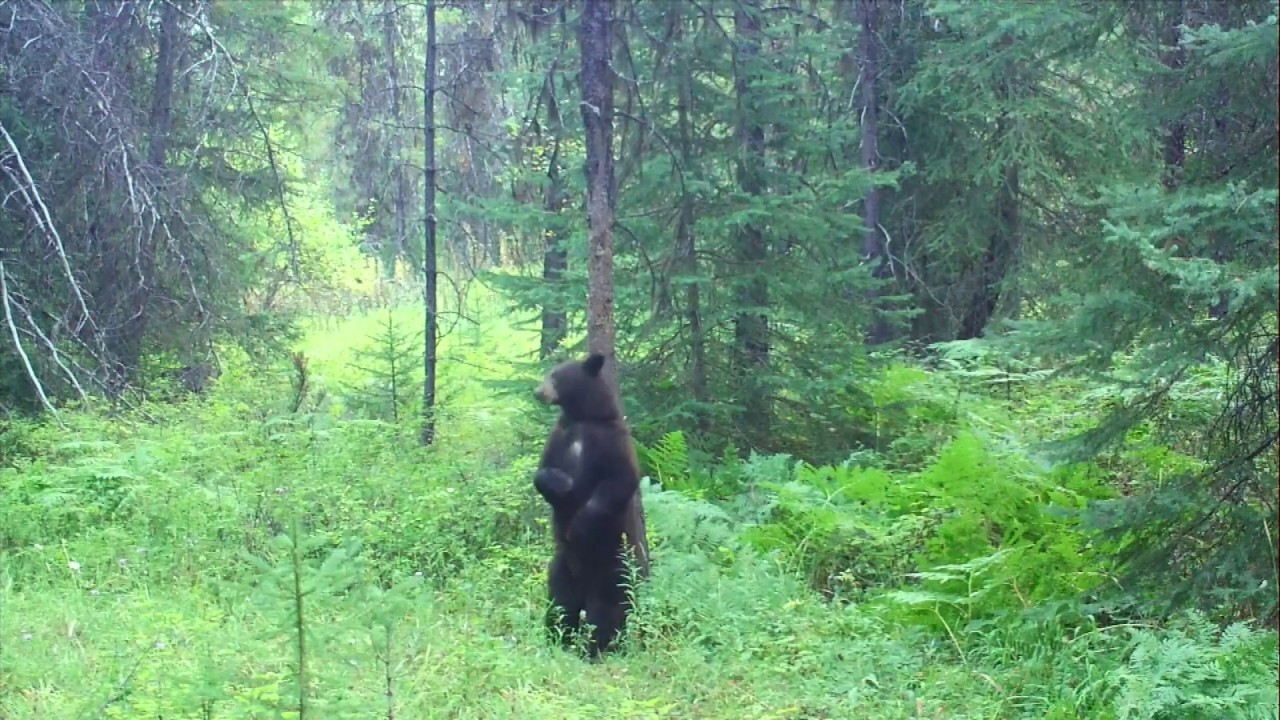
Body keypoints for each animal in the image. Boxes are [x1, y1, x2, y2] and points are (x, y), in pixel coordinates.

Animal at [532, 352, 650, 657]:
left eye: (555, 377)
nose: (538, 391)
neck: (583, 418)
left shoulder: (612, 441)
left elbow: (619, 482)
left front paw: (578, 526)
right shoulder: (559, 437)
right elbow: (541, 473)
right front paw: (560, 482)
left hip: (612, 570)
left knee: (606, 613)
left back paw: (596, 650)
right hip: (561, 566)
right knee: (560, 605)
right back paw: (557, 639)